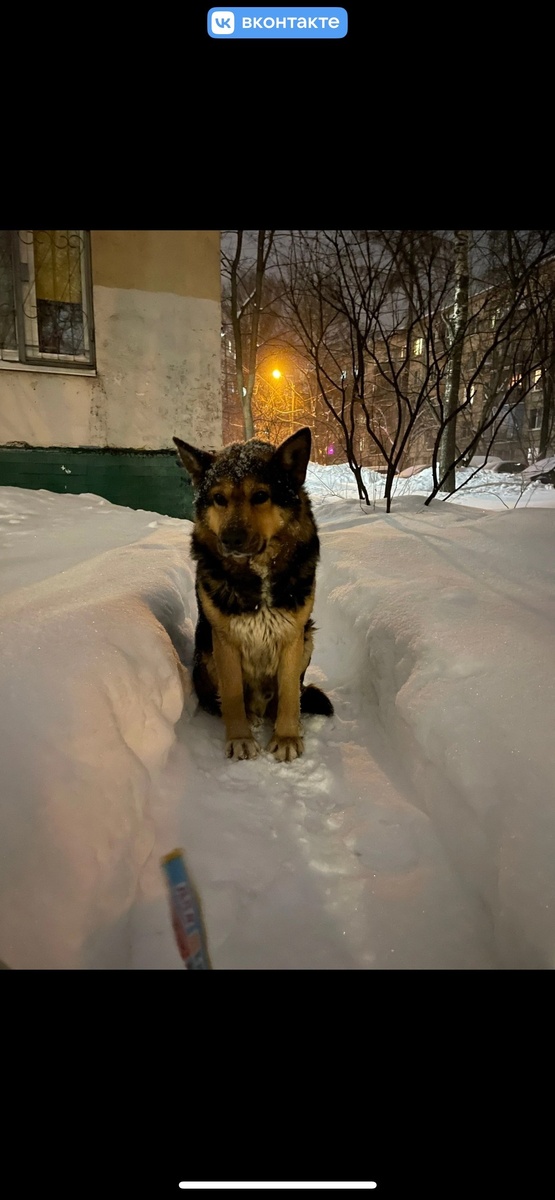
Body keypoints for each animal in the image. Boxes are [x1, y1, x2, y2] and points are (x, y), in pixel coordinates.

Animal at [173, 426, 333, 762]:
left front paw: (286, 737)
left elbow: (289, 695)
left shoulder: (292, 635)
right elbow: (233, 695)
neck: (258, 573)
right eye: (219, 499)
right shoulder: (224, 640)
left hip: (308, 638)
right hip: (205, 650)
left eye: (260, 496)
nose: (230, 539)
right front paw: (240, 738)